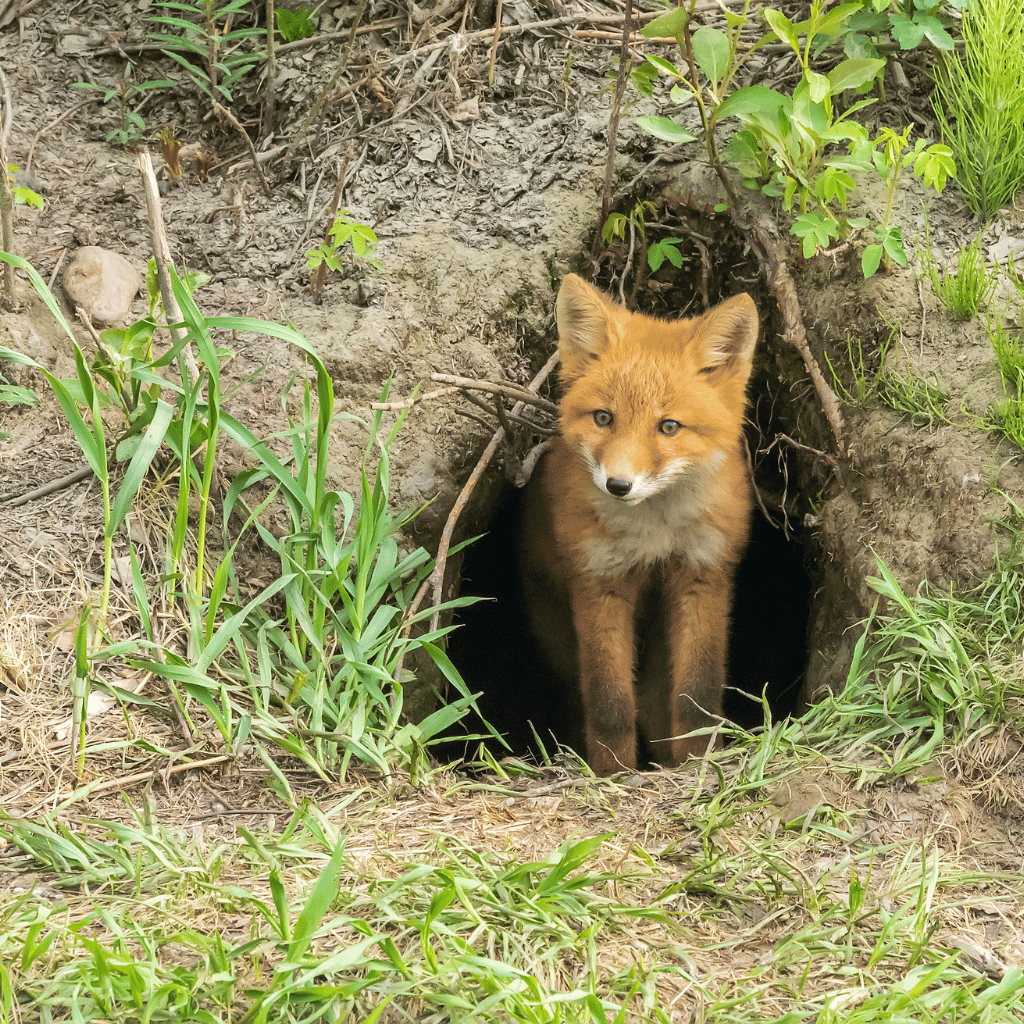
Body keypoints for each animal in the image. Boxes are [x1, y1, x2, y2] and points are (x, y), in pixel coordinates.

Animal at [516, 273, 759, 775]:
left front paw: (696, 765)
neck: (656, 534)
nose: (618, 485)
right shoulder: (599, 583)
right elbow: (609, 704)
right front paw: (613, 773)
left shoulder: (703, 576)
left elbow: (696, 697)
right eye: (603, 418)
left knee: (652, 699)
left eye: (668, 426)